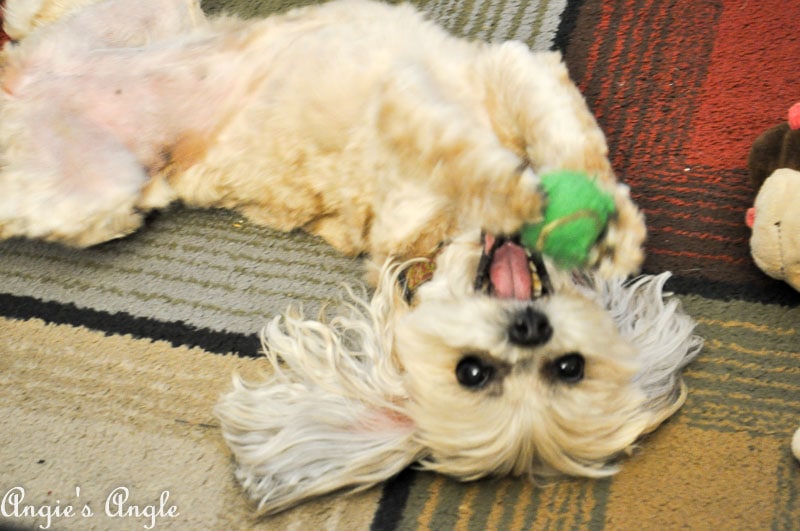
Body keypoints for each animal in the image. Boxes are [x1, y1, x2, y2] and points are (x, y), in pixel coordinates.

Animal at [0, 0, 700, 516]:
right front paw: (583, 216)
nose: (530, 327)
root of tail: (26, 81)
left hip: (99, 187)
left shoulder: (491, 93)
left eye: (567, 367)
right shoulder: (488, 85)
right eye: (472, 372)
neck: (452, 239)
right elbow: (523, 138)